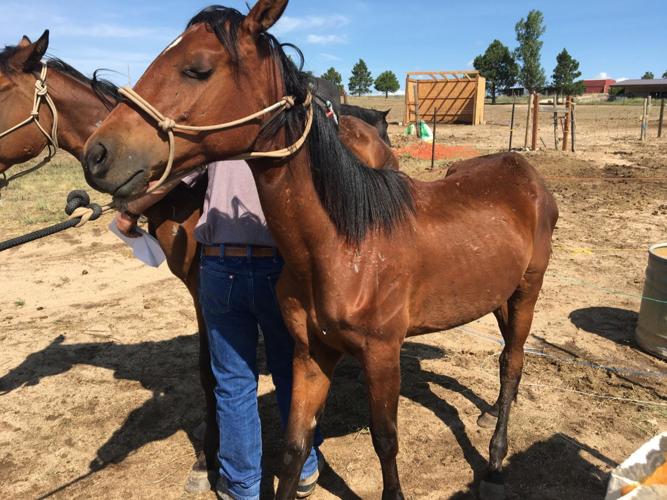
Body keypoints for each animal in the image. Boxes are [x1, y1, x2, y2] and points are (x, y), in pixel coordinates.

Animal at [0, 29, 397, 492]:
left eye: (1, 88)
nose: (98, 158)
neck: (185, 186)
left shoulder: (204, 282)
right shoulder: (202, 289)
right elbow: (212, 374)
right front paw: (208, 459)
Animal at [81, 3, 558, 499]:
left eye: (198, 69)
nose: (98, 154)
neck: (343, 245)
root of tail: (522, 169)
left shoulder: (382, 354)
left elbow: (385, 439)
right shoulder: (311, 353)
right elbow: (294, 446)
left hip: (528, 291)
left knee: (512, 363)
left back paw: (497, 457)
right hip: (499, 295)